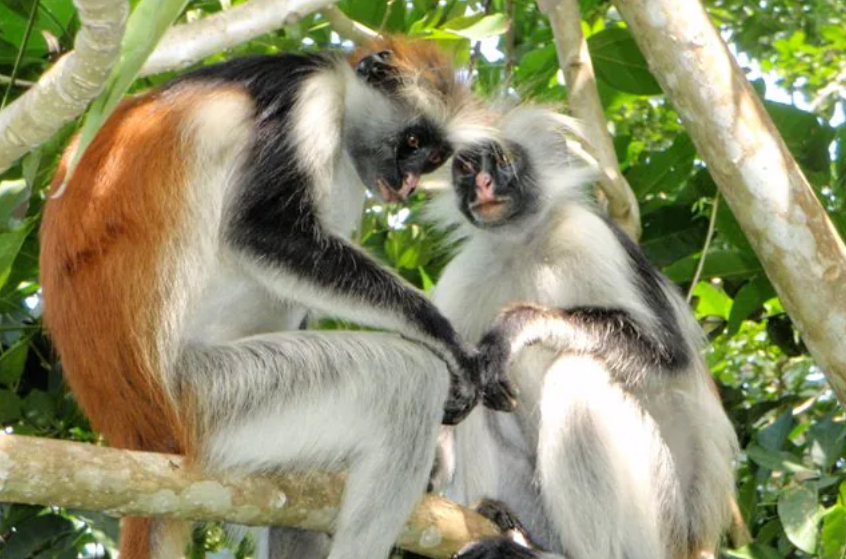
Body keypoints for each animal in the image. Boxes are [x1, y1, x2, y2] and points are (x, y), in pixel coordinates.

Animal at [39, 39, 510, 559]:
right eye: (411, 143)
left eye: (431, 158)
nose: (408, 184)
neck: (341, 94)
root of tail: (139, 429)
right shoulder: (307, 100)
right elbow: (263, 228)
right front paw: (448, 342)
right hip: (214, 396)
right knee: (407, 381)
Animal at [430, 108, 744, 559]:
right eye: (467, 169)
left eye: (503, 161)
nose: (483, 185)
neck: (522, 244)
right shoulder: (464, 276)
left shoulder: (588, 234)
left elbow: (669, 360)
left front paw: (518, 326)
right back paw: (503, 521)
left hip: (661, 521)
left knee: (577, 376)